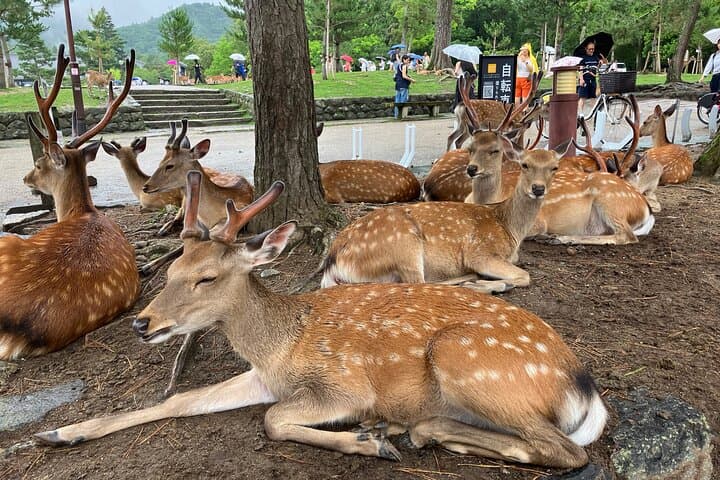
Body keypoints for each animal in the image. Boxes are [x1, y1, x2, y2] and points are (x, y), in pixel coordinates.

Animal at [35, 171, 607, 470]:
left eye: (207, 278)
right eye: (172, 269)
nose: (143, 324)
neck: (278, 345)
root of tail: (583, 386)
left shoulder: (343, 385)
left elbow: (273, 420)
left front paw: (362, 441)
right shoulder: (263, 377)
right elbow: (181, 400)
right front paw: (60, 433)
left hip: (465, 360)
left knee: (564, 451)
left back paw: (401, 430)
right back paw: (409, 428)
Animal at [321, 143, 563, 293]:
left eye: (555, 167)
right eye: (525, 164)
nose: (538, 189)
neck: (509, 228)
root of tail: (333, 261)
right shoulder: (481, 252)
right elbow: (525, 275)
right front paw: (483, 283)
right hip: (404, 246)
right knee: (418, 283)